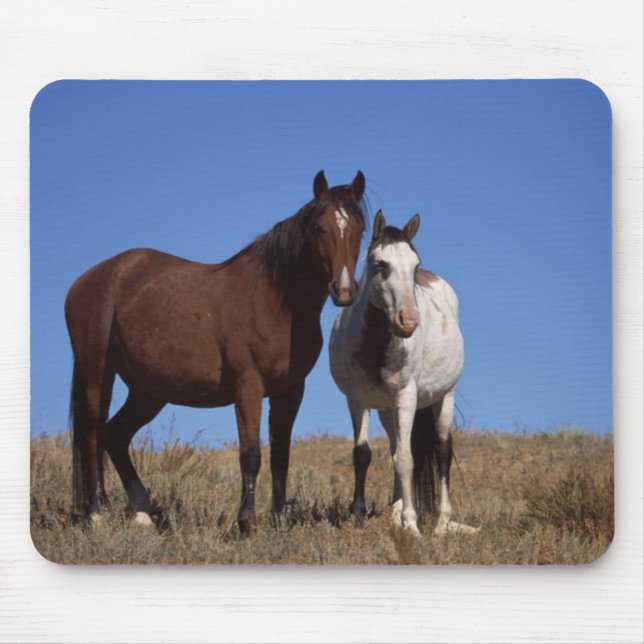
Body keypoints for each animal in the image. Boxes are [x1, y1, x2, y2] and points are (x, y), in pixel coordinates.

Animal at [65, 170, 367, 534]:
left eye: (360, 228)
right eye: (318, 228)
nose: (344, 290)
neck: (275, 300)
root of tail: (88, 280)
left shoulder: (291, 390)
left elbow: (281, 455)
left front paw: (279, 521)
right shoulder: (248, 386)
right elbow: (251, 455)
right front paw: (246, 522)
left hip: (147, 391)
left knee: (114, 435)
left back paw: (141, 513)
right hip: (97, 375)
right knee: (93, 437)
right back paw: (96, 515)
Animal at [329, 210, 477, 536]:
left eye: (414, 265)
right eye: (380, 264)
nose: (408, 321)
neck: (376, 344)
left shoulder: (407, 397)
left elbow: (407, 459)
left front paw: (412, 524)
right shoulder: (357, 400)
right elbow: (364, 454)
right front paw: (358, 517)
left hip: (443, 398)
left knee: (442, 451)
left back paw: (440, 523)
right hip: (388, 410)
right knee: (397, 445)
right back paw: (395, 514)